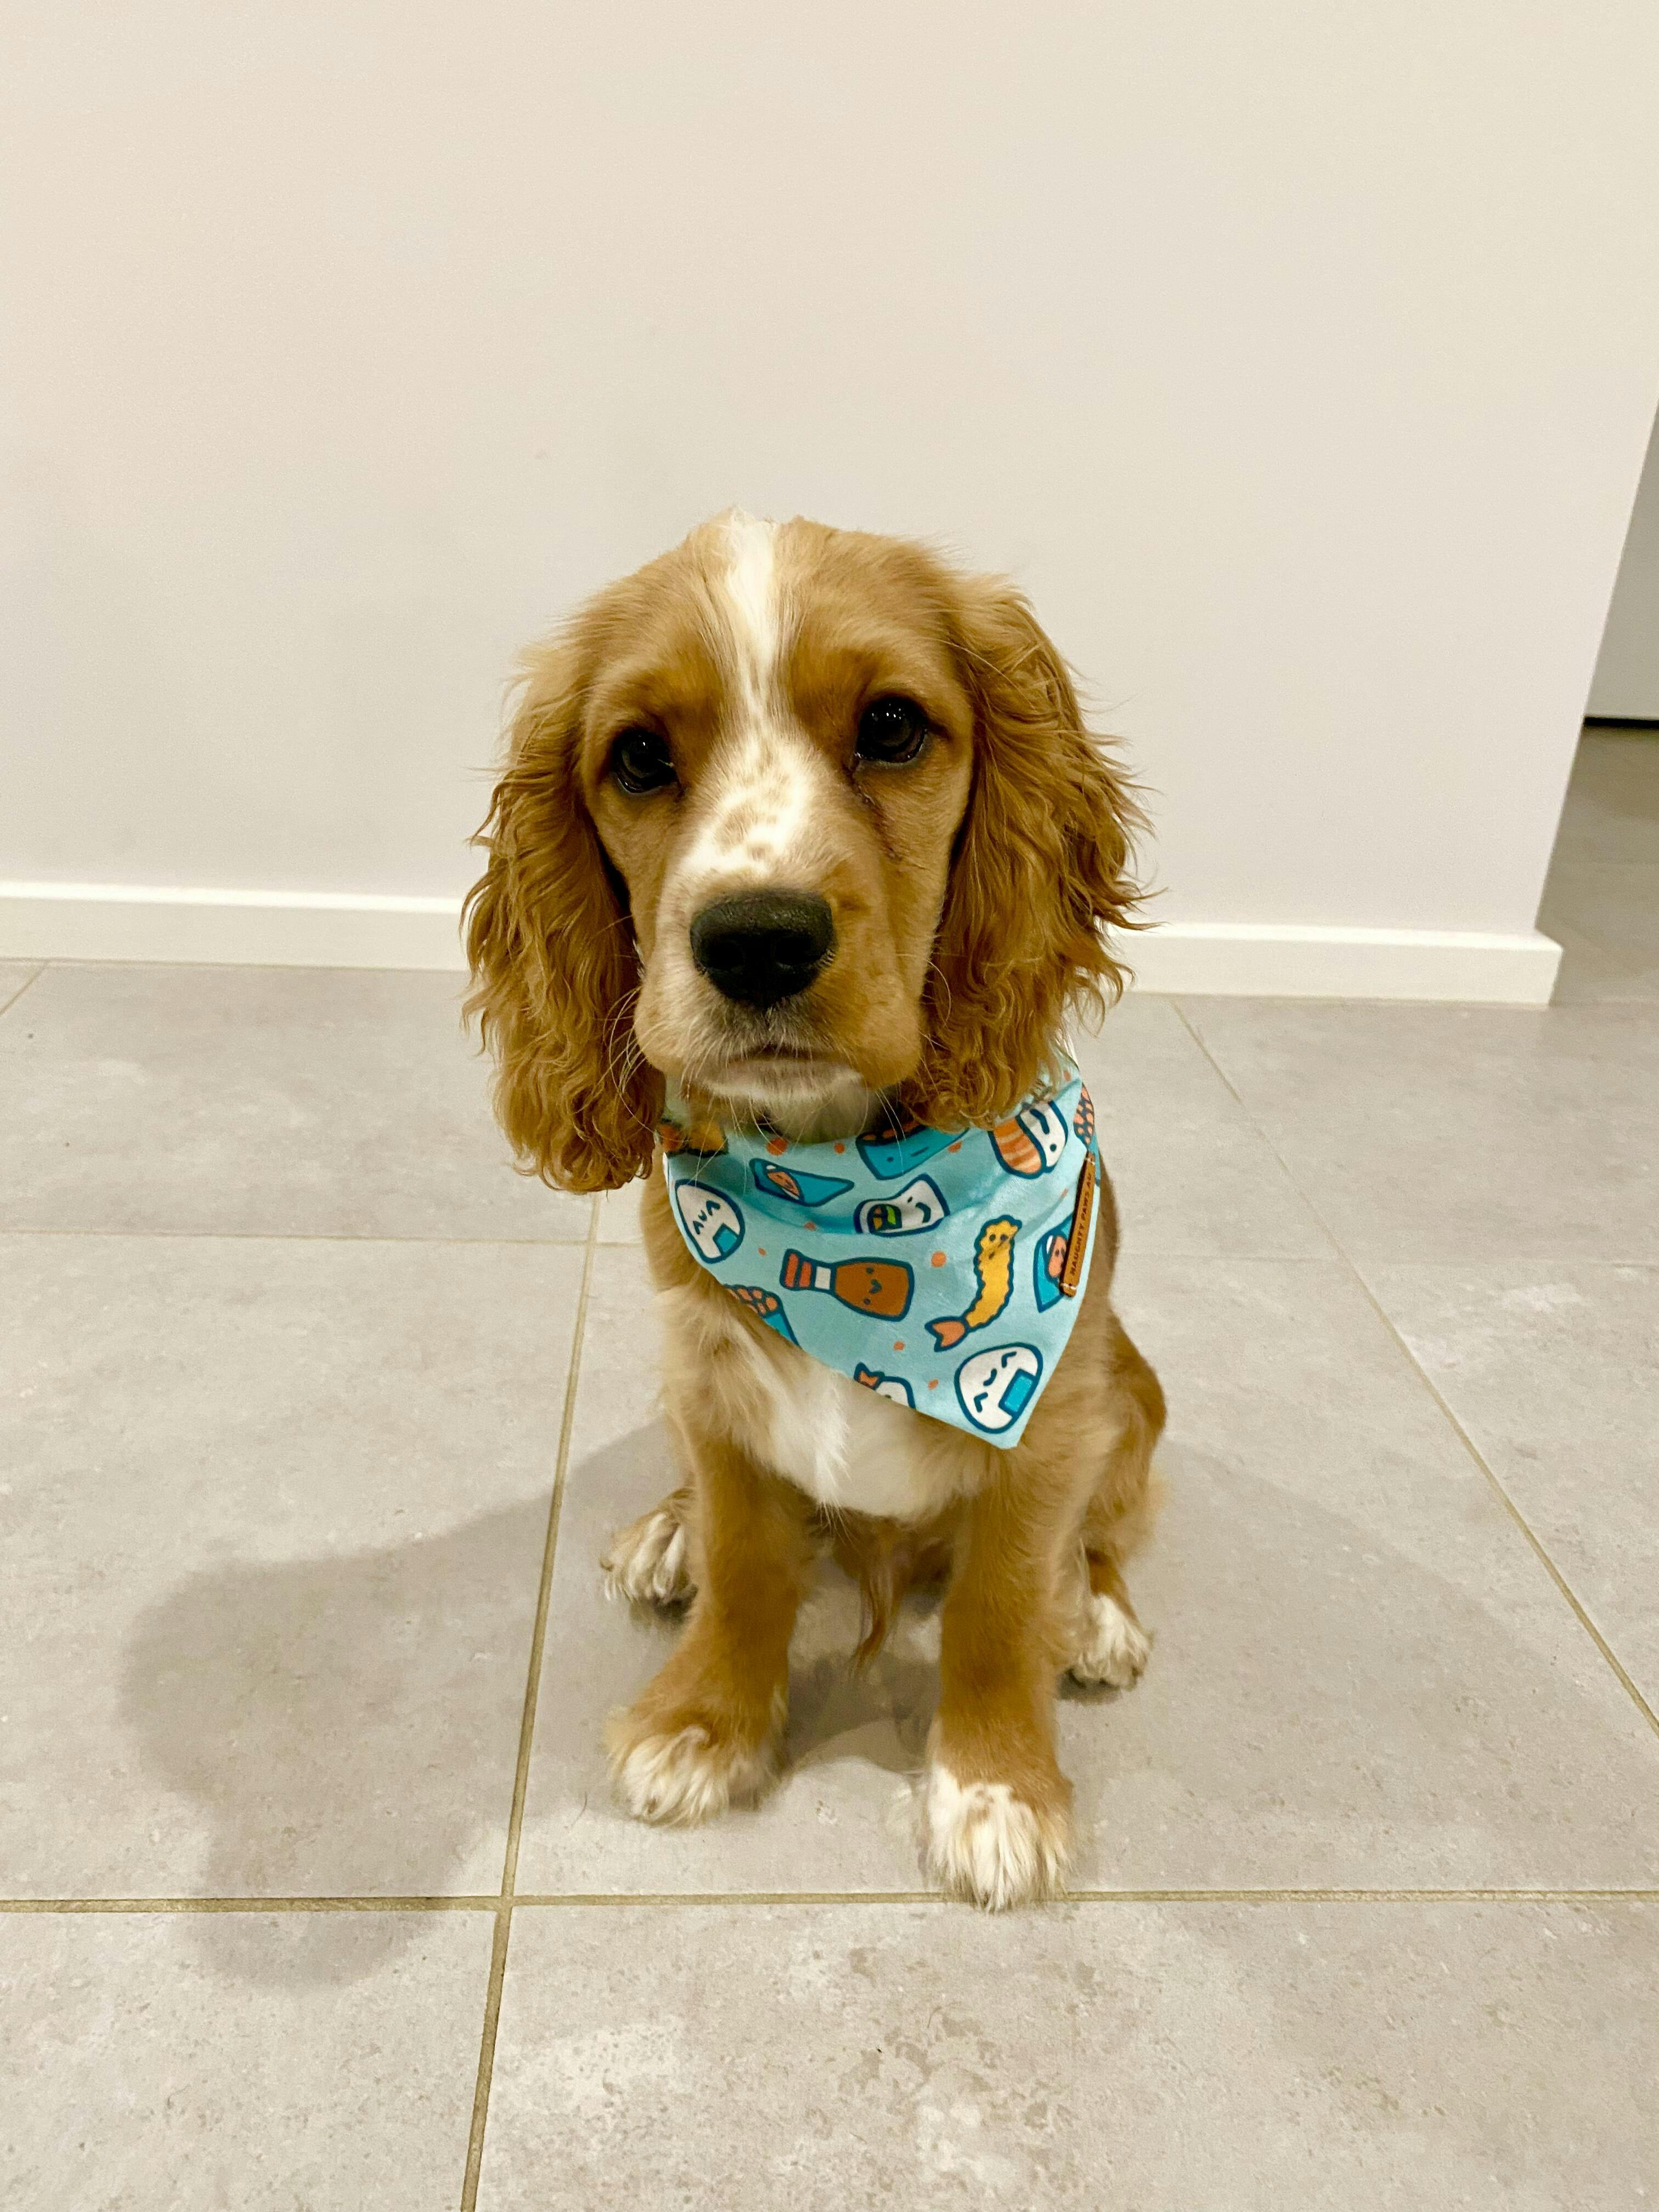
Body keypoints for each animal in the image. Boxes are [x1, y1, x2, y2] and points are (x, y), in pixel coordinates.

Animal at [465, 510, 1166, 1909]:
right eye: (638, 755)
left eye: (892, 726)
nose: (757, 941)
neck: (852, 1203)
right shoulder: (718, 1384)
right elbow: (748, 1566)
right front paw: (703, 1722)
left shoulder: (1049, 1422)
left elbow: (1005, 1602)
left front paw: (998, 1788)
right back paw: (665, 1536)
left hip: (1134, 1394)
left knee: (1103, 1532)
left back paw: (1101, 1613)